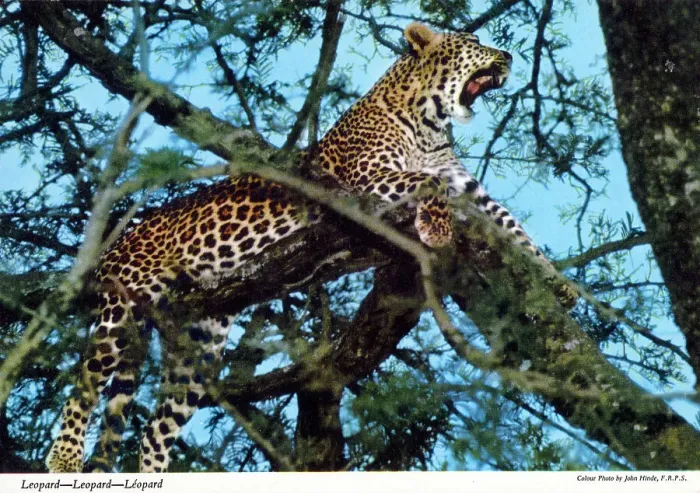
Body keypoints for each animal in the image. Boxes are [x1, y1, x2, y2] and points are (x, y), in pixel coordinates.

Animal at [46, 22, 546, 473]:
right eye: (474, 41)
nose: (508, 56)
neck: (429, 125)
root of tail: (123, 237)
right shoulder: (365, 183)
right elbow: (427, 183)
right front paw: (438, 228)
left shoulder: (472, 194)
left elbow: (515, 230)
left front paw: (553, 285)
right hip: (123, 304)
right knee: (85, 381)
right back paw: (64, 457)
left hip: (199, 349)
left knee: (155, 428)